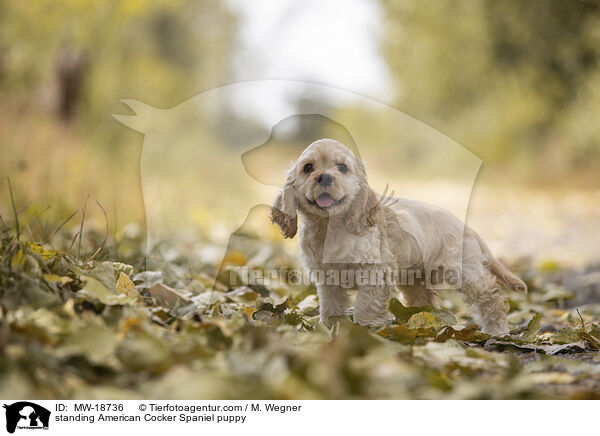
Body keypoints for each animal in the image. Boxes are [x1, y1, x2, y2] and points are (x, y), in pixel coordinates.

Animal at [270, 138, 528, 336]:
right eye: (308, 168)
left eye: (342, 167)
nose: (324, 177)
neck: (329, 227)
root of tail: (464, 225)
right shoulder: (326, 276)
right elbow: (330, 305)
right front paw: (332, 327)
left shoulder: (374, 271)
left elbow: (366, 304)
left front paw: (366, 328)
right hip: (415, 278)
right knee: (427, 301)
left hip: (462, 270)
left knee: (492, 296)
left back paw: (497, 330)